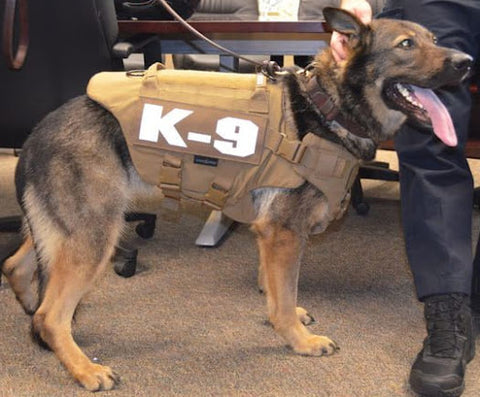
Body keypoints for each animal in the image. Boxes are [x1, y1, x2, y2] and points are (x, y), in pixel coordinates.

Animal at [0, 7, 472, 392]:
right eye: (406, 45)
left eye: (433, 39)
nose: (466, 63)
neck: (327, 106)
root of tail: (35, 134)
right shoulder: (284, 233)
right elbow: (283, 295)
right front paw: (299, 341)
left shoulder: (268, 233)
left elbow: (275, 288)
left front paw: (286, 313)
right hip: (96, 236)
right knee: (51, 314)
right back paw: (83, 368)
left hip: (63, 232)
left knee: (17, 267)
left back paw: (34, 316)